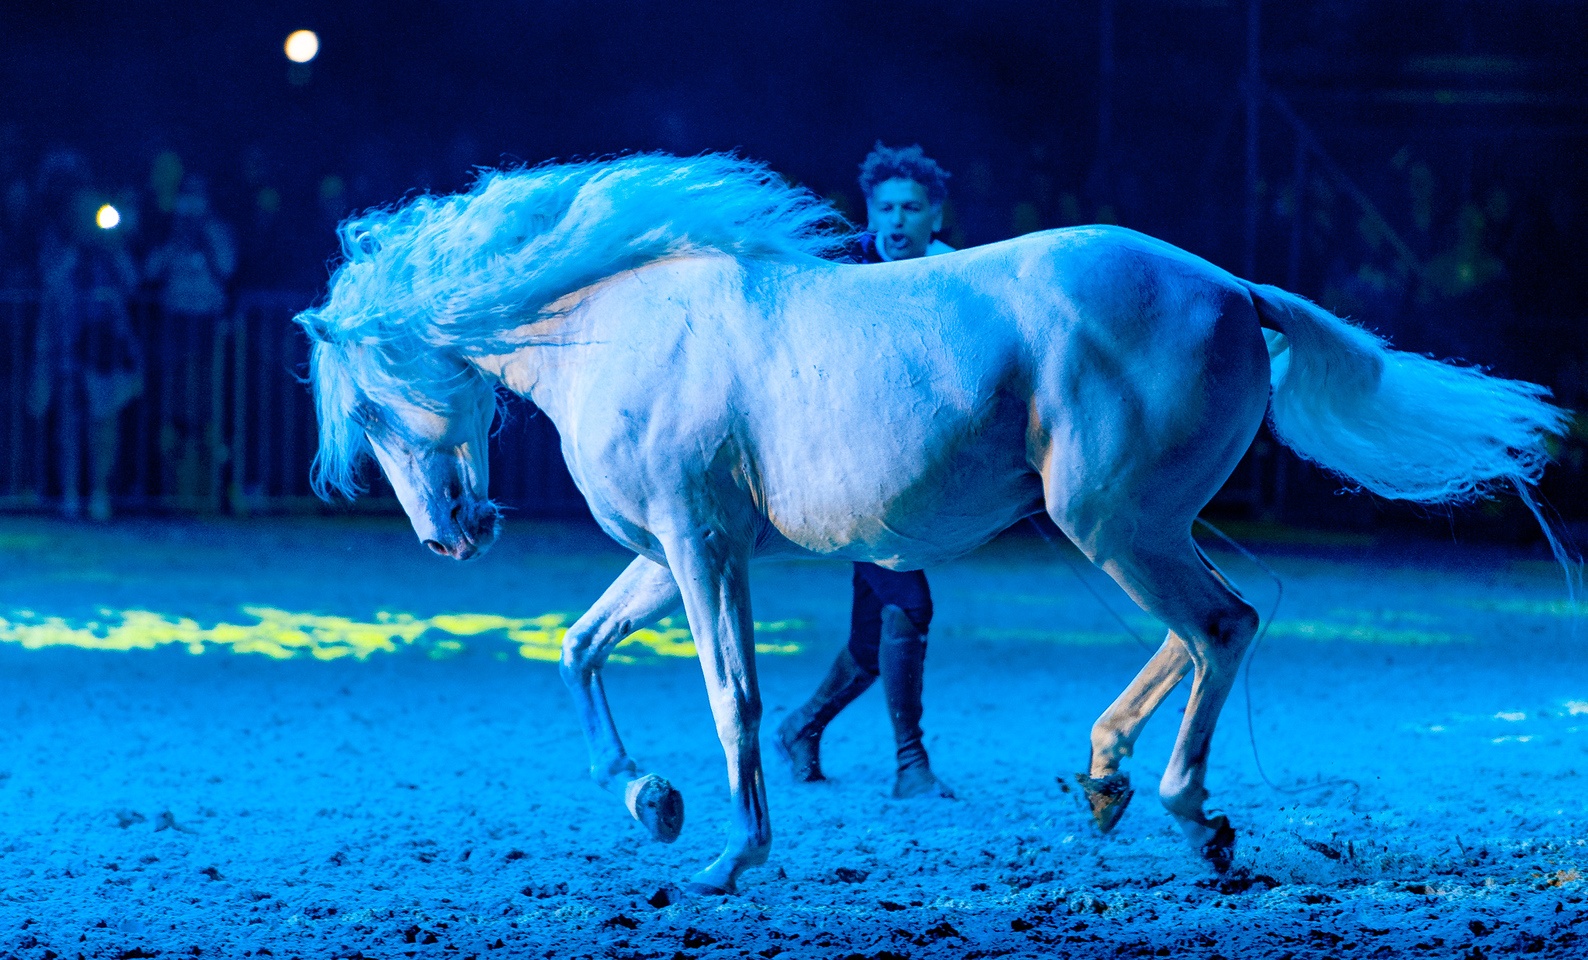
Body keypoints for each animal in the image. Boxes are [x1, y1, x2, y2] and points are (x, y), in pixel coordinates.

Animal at [297, 153, 1566, 895]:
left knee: (1221, 625)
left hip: (1109, 523)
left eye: (369, 407)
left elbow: (732, 696)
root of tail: (1228, 287)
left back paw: (1182, 813)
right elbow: (577, 650)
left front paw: (725, 857)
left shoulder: (702, 548)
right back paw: (1108, 782)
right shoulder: (669, 555)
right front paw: (649, 802)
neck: (621, 329)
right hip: (1130, 525)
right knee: (1215, 626)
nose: (452, 534)